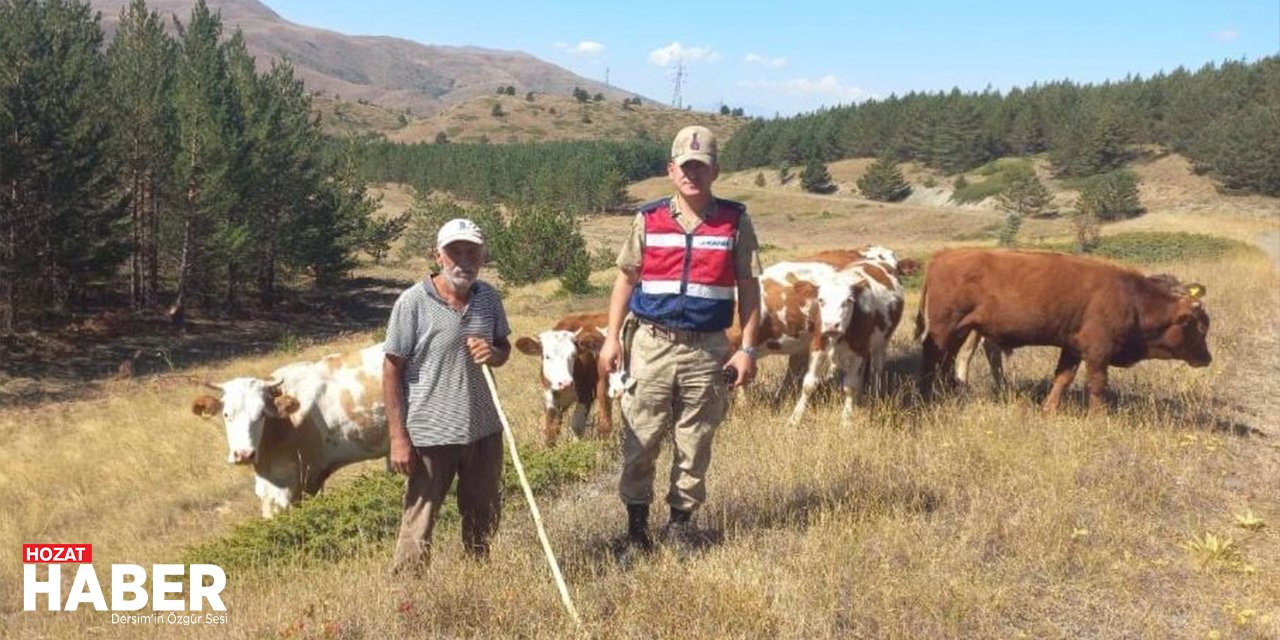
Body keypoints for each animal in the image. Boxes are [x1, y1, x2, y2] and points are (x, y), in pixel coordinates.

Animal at [512, 311, 611, 445]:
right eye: (547, 356)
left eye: (574, 355)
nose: (565, 383)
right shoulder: (551, 399)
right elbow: (551, 429)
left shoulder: (586, 394)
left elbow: (576, 425)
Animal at [921, 247, 1208, 412]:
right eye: (1200, 327)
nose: (1207, 358)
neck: (1133, 300)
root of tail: (942, 256)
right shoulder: (1097, 352)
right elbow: (1097, 384)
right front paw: (1099, 417)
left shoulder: (1072, 349)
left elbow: (1063, 378)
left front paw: (1048, 410)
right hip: (946, 327)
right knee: (933, 355)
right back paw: (930, 392)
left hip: (960, 330)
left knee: (948, 358)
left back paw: (948, 390)